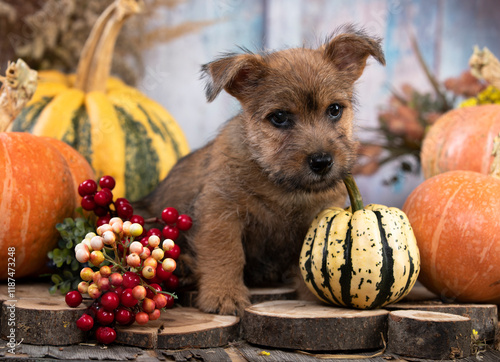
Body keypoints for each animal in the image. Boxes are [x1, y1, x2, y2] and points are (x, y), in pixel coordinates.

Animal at [135, 24, 384, 314]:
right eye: (279, 117)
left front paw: (312, 297)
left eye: (334, 109)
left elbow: (307, 263)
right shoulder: (220, 213)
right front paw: (224, 295)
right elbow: (226, 255)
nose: (322, 162)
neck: (281, 185)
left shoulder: (317, 218)